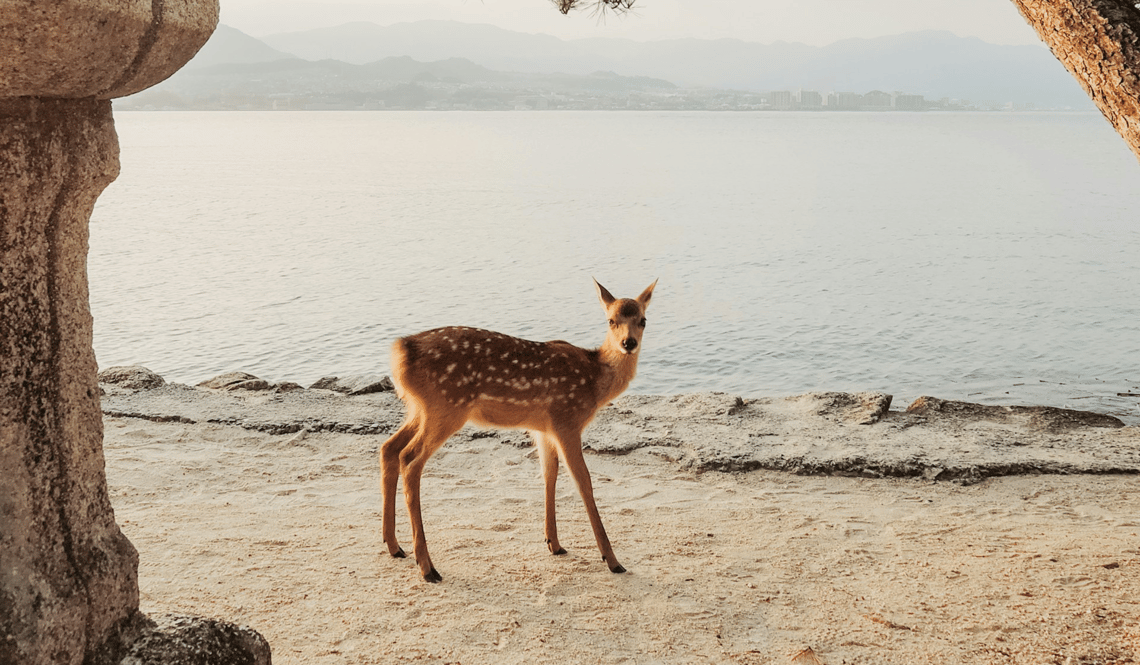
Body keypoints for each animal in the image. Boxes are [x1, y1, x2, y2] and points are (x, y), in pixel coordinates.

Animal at [378, 279, 656, 584]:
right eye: (611, 320)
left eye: (643, 320)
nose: (628, 343)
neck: (595, 382)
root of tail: (400, 352)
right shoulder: (567, 419)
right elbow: (584, 482)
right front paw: (612, 560)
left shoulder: (544, 429)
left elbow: (549, 474)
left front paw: (554, 543)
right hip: (447, 407)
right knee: (410, 459)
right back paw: (427, 567)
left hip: (420, 409)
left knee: (389, 447)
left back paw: (394, 546)